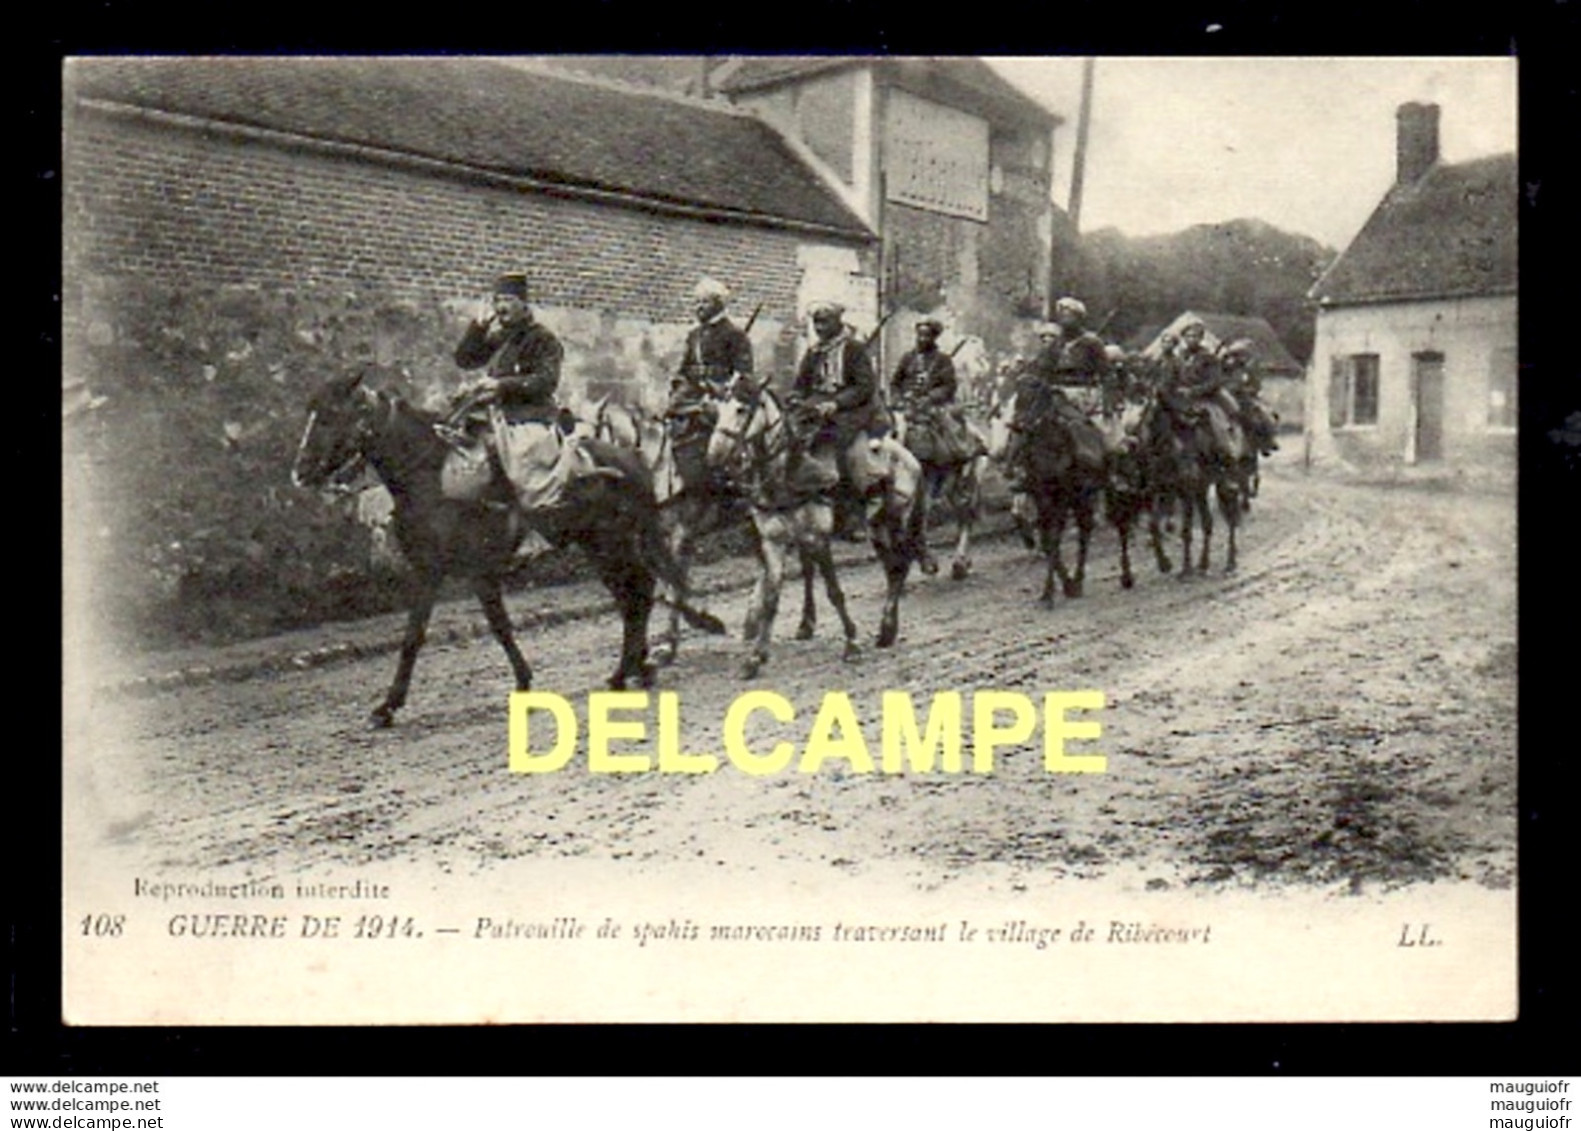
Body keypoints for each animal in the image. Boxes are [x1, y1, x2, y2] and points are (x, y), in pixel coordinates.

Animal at [290, 370, 724, 724]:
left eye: (329, 415)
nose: (300, 471)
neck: (432, 476)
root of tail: (631, 460)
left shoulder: (460, 571)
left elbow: (463, 629)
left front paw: (390, 705)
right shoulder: (441, 571)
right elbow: (453, 631)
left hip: (610, 543)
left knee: (638, 594)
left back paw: (629, 669)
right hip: (598, 548)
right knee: (633, 596)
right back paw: (634, 668)